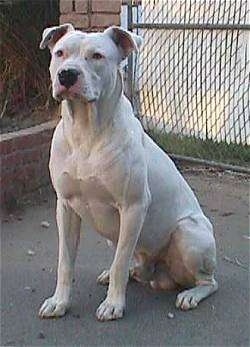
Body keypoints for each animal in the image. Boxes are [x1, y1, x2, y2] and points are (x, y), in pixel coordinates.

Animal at [38, 23, 217, 324]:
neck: (86, 131)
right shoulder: (65, 207)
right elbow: (65, 261)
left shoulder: (133, 207)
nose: (67, 74)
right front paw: (59, 302)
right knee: (135, 264)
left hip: (188, 233)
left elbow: (121, 260)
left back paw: (190, 295)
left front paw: (113, 305)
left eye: (97, 56)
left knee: (208, 281)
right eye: (60, 53)